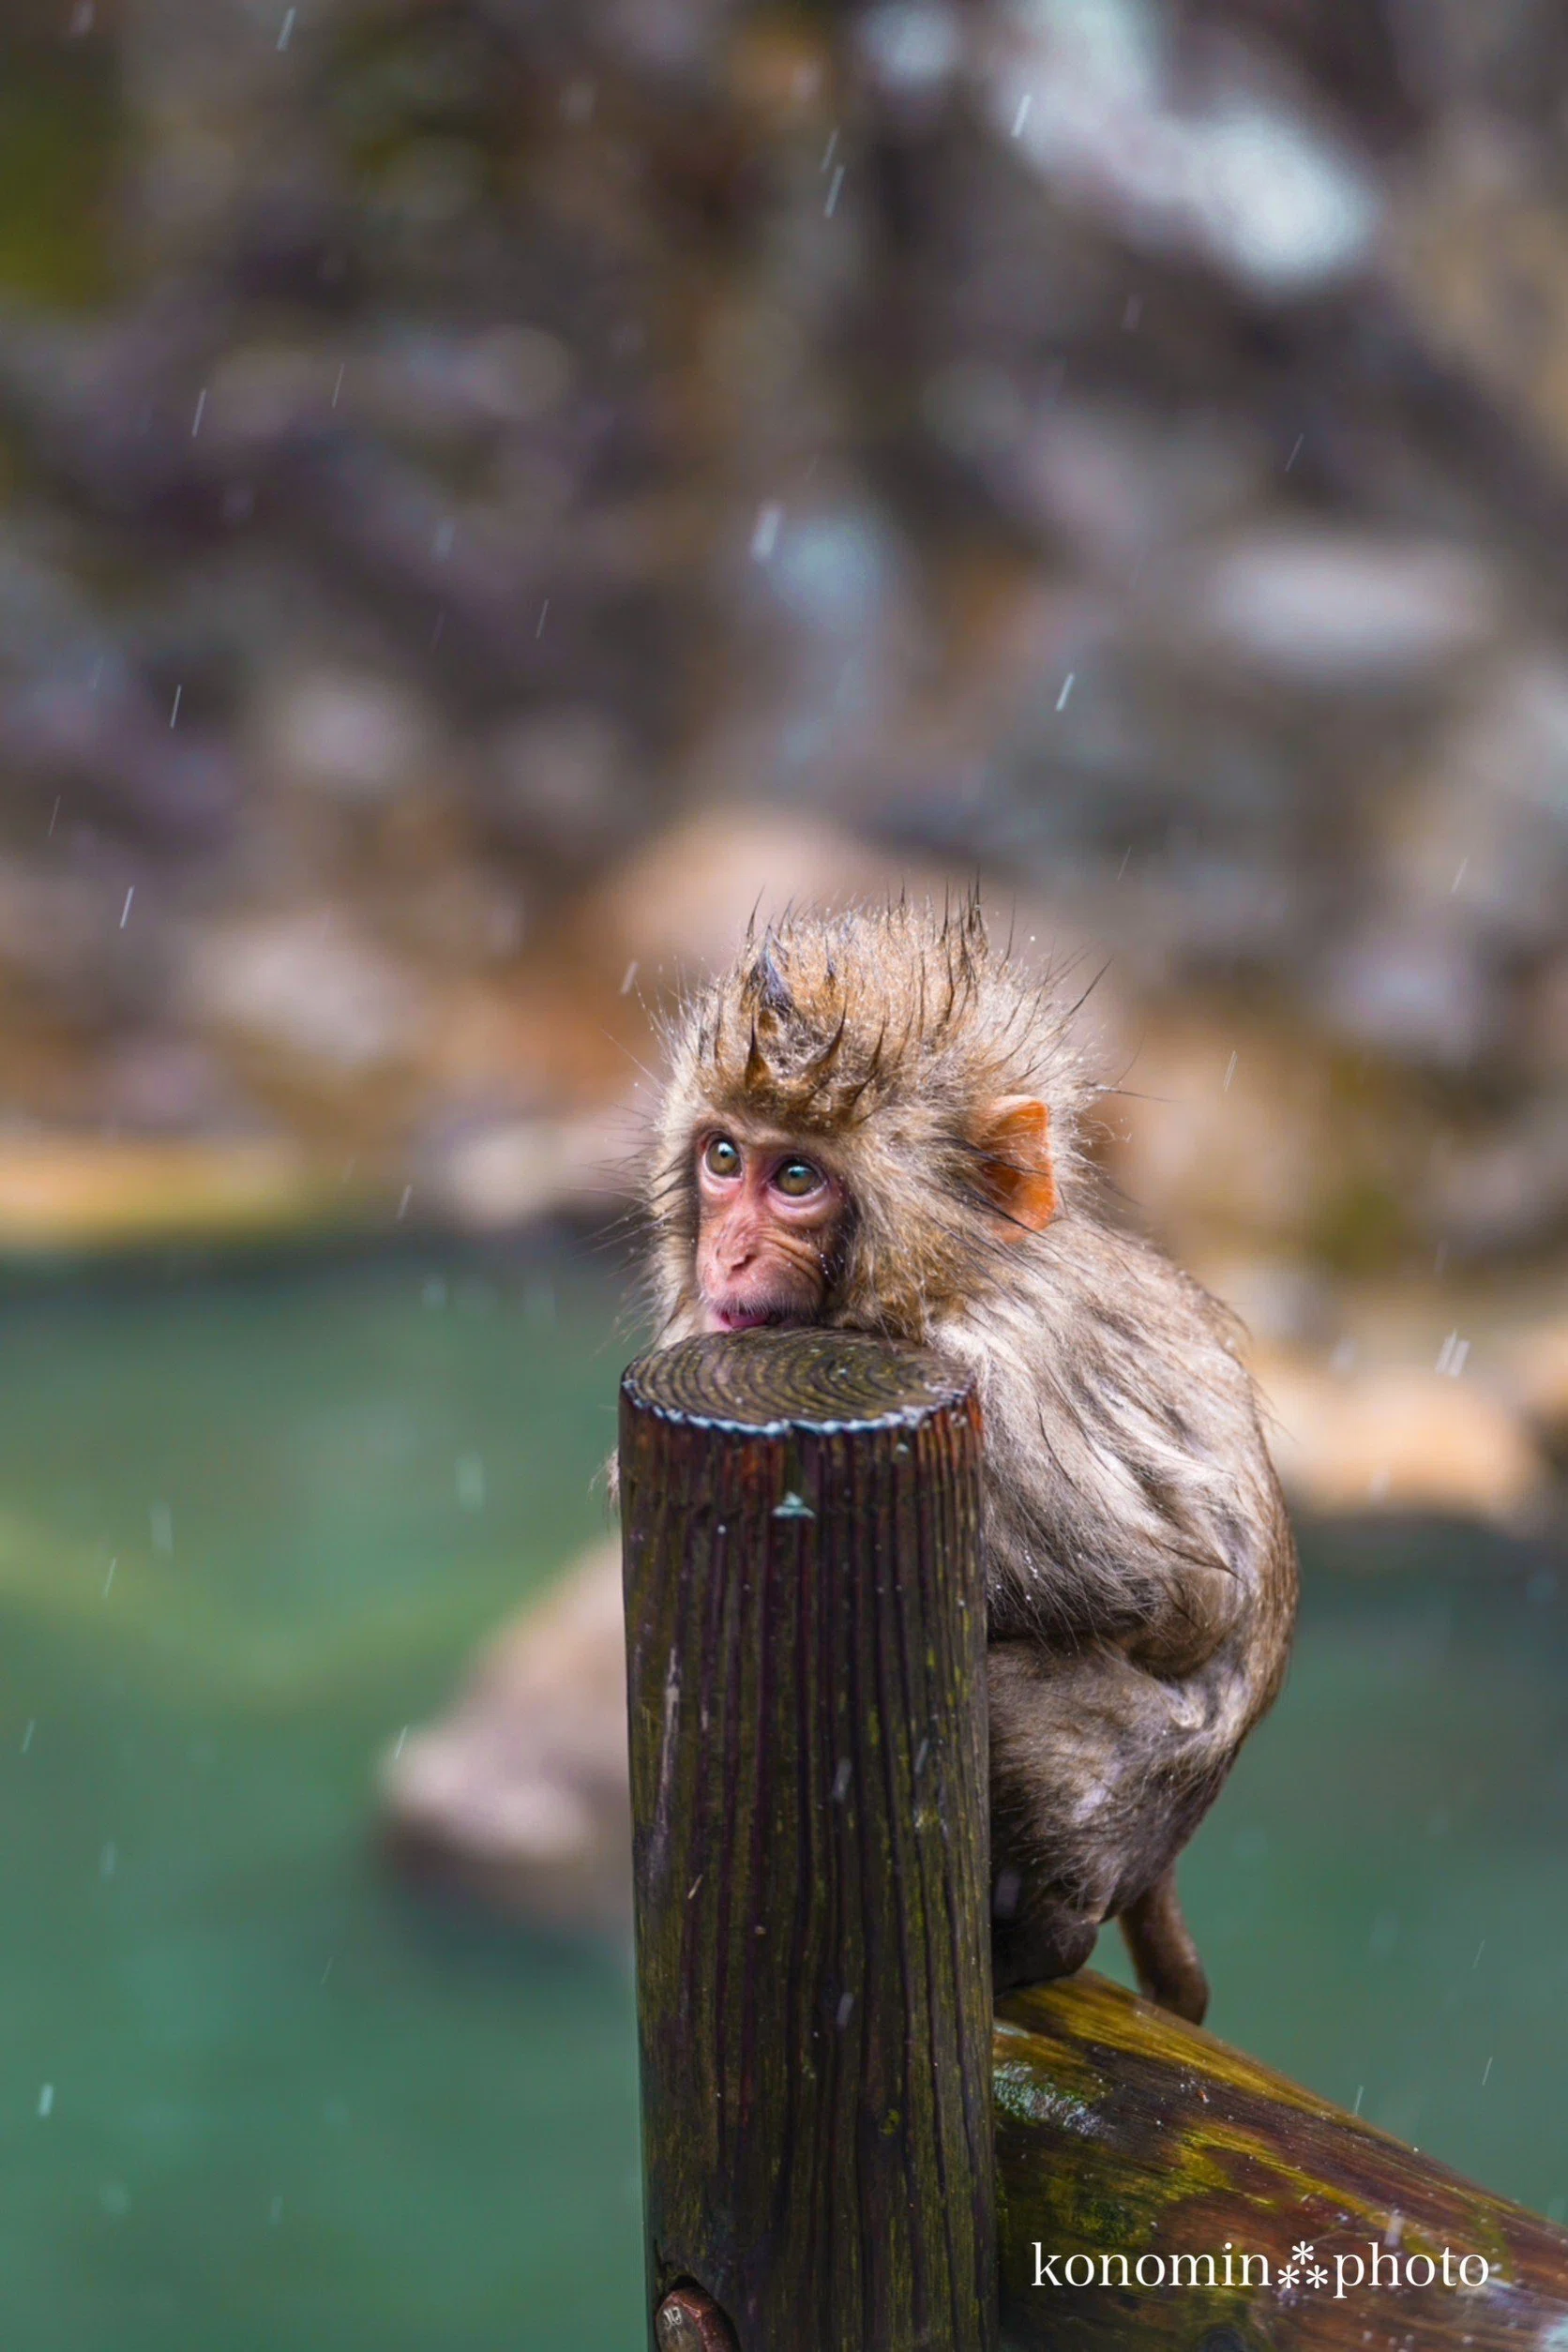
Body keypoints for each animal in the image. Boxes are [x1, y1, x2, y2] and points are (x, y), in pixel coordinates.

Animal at [640, 896, 1297, 2024]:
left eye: (797, 1177)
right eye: (725, 1158)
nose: (726, 1253)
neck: (947, 1281)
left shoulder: (995, 1380)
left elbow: (1146, 1590)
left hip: (1130, 1786)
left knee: (1018, 1701)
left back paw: (1045, 1940)